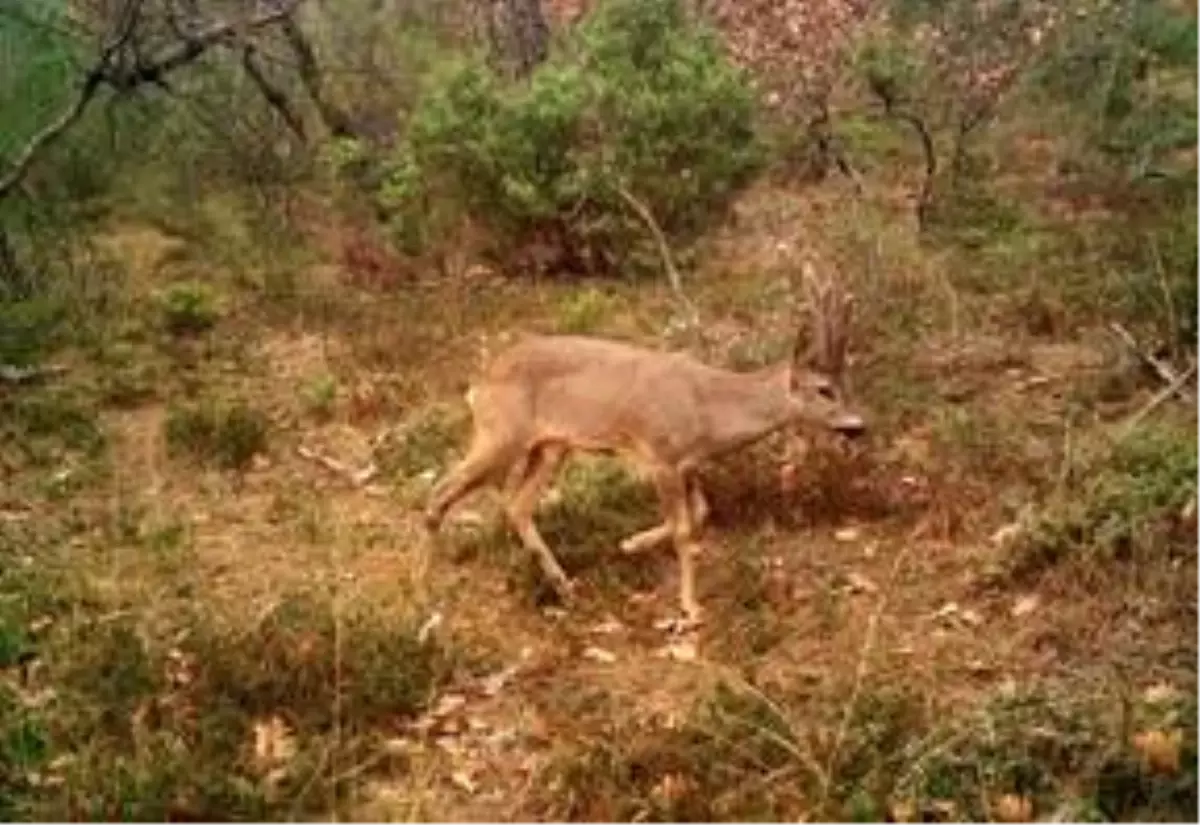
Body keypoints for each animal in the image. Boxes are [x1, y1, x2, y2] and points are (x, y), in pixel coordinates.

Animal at [422, 262, 864, 623]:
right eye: (824, 389)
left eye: (846, 384)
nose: (859, 426)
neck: (708, 410)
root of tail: (478, 384)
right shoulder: (661, 455)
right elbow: (683, 527)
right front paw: (690, 608)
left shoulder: (687, 463)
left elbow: (699, 514)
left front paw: (629, 544)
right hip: (501, 434)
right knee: (439, 493)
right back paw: (426, 588)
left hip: (549, 446)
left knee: (517, 506)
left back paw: (565, 587)